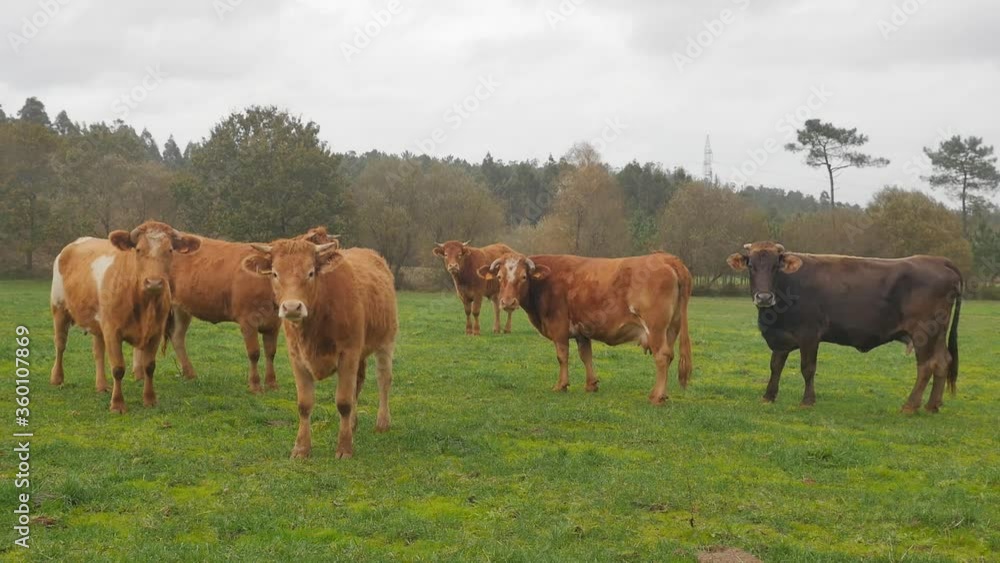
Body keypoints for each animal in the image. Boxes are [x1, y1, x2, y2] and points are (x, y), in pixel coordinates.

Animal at [50, 221, 201, 413]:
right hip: (59, 308)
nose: (154, 282)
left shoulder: (155, 332)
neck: (144, 304)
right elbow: (118, 368)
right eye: (138, 249)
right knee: (60, 345)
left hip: (98, 323)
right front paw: (117, 404)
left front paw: (150, 399)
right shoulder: (112, 331)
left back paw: (101, 385)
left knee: (98, 351)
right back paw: (57, 378)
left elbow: (149, 366)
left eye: (170, 250)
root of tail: (75, 243)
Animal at [165, 226, 336, 393]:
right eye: (275, 273)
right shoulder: (247, 321)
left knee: (177, 336)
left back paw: (190, 374)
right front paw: (255, 385)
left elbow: (270, 352)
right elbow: (254, 353)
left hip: (182, 308)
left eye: (310, 271)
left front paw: (272, 383)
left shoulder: (273, 323)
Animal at [242, 238, 397, 459]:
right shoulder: (297, 358)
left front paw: (344, 448)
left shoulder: (348, 354)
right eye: (275, 273)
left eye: (310, 273)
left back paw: (382, 422)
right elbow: (304, 404)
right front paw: (301, 448)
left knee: (383, 380)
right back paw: (353, 424)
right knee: (358, 383)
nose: (291, 307)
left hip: (386, 341)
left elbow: (343, 402)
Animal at [478, 252, 693, 404]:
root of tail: (666, 257)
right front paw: (591, 385)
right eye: (499, 277)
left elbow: (562, 356)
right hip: (671, 329)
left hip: (655, 328)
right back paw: (661, 393)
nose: (507, 302)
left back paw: (657, 396)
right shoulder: (582, 330)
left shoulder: (559, 327)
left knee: (662, 356)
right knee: (669, 356)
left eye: (523, 276)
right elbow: (585, 355)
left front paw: (561, 385)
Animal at [726, 241, 962, 412]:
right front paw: (768, 396)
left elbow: (807, 368)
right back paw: (932, 405)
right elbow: (775, 366)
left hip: (924, 332)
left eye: (776, 267)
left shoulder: (809, 335)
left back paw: (910, 406)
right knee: (942, 362)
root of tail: (937, 261)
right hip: (938, 333)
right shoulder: (781, 337)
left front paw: (807, 400)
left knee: (926, 366)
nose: (764, 297)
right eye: (751, 266)